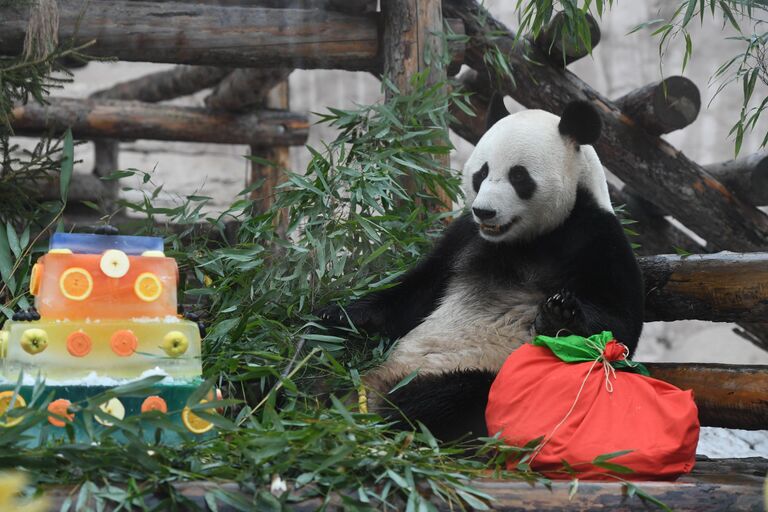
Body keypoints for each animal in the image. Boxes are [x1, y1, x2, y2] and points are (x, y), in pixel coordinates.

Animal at [316, 95, 644, 440]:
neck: (529, 239)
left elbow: (618, 329)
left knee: (451, 397)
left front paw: (561, 313)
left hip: (473, 372)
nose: (484, 211)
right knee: (327, 350)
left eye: (519, 176)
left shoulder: (598, 239)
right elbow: (414, 291)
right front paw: (340, 313)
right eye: (481, 173)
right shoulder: (463, 239)